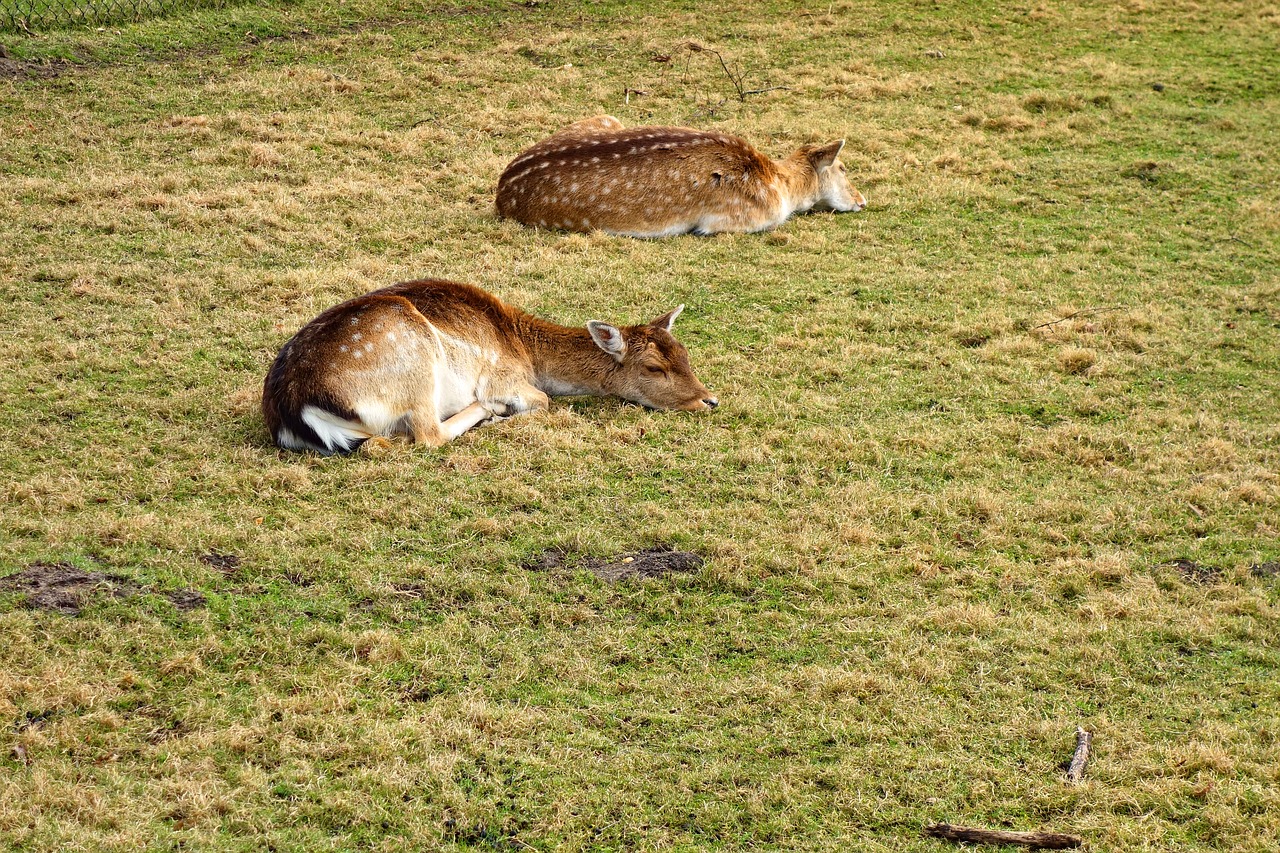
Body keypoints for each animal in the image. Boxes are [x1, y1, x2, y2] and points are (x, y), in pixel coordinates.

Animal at [262, 277, 721, 450]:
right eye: (654, 368)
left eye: (685, 354)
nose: (709, 400)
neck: (526, 351)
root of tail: (293, 407)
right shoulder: (505, 377)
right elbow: (542, 401)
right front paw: (502, 409)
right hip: (414, 361)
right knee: (426, 435)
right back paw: (485, 413)